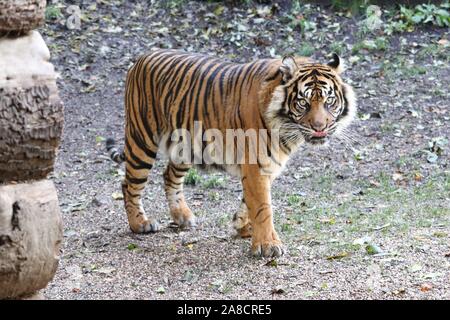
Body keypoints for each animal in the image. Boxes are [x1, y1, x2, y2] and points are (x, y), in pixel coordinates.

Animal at [105, 49, 356, 258]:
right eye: (303, 103)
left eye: (329, 101)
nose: (319, 127)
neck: (287, 128)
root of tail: (142, 57)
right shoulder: (255, 164)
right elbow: (263, 206)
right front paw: (268, 245)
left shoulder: (265, 166)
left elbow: (250, 201)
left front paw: (243, 226)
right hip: (142, 138)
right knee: (129, 184)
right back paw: (140, 224)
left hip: (185, 145)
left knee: (169, 176)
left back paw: (183, 217)